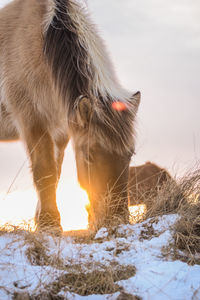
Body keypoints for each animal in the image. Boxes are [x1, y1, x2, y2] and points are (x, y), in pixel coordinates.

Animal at [0, 0, 140, 232]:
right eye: (90, 155)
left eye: (130, 154)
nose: (115, 221)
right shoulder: (32, 121)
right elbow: (44, 171)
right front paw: (50, 224)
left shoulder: (60, 131)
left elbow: (55, 173)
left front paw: (42, 221)